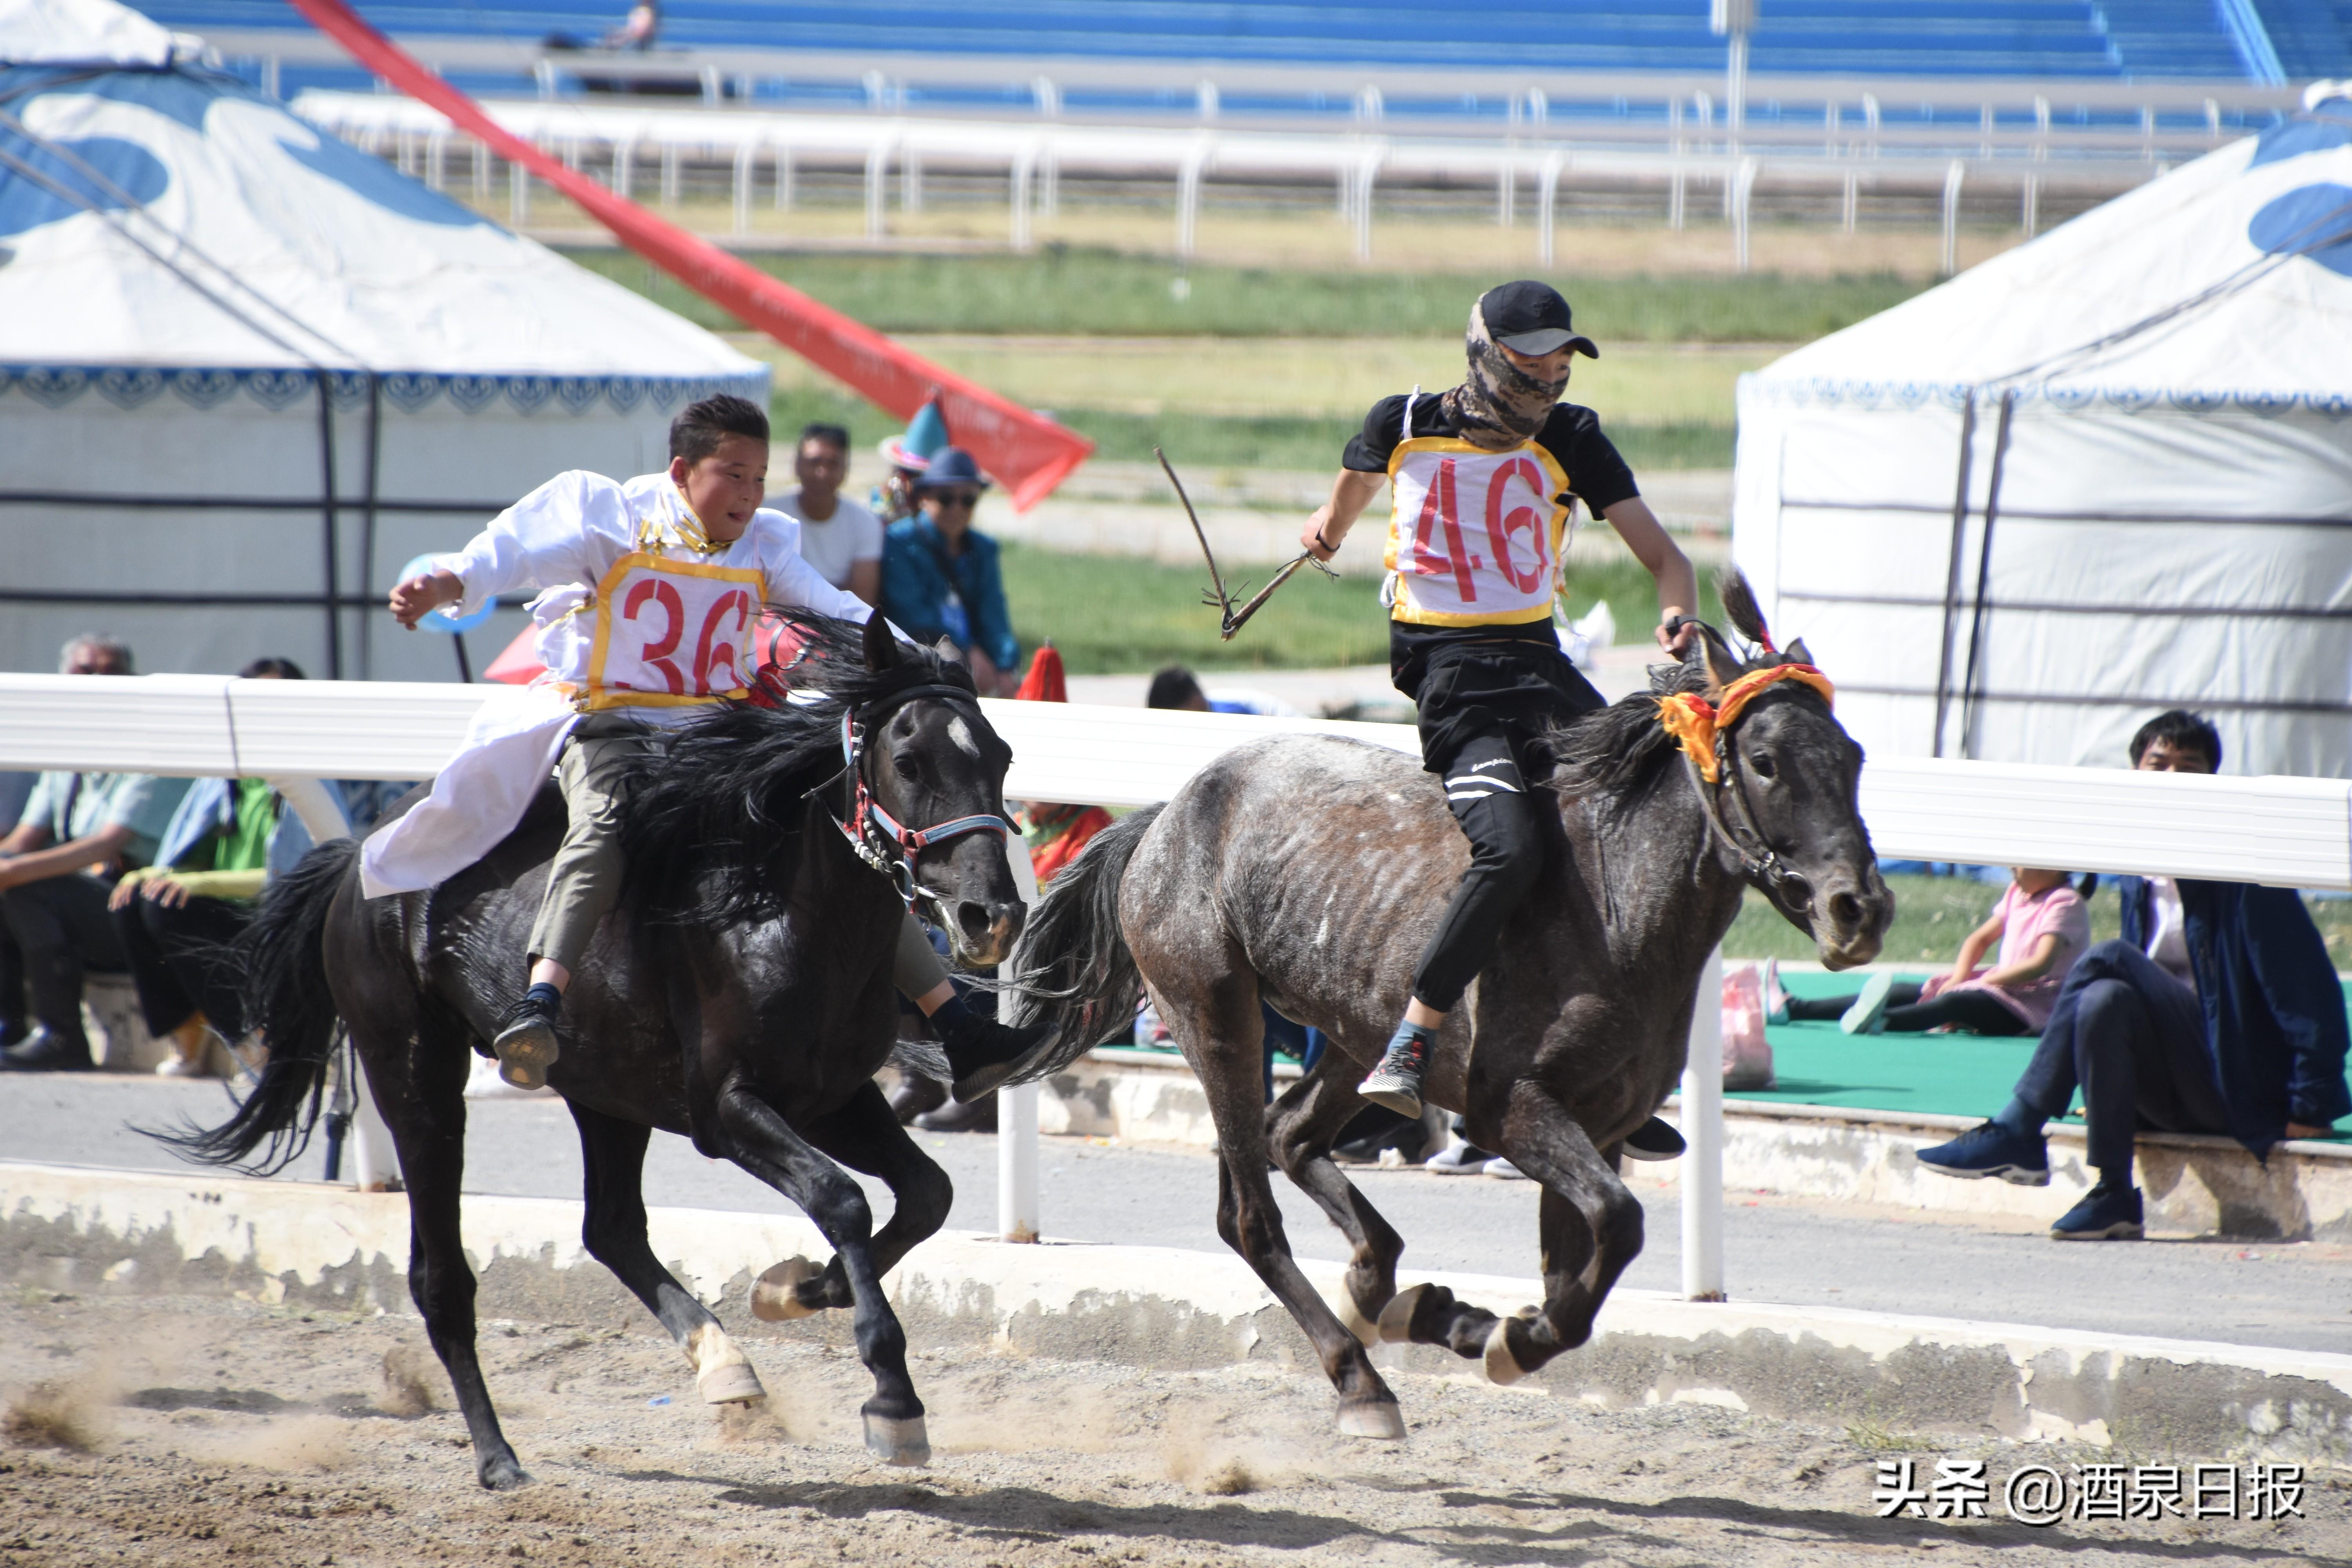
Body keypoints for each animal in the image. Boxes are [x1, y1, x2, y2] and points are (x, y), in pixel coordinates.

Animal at [156, 611, 1021, 1486]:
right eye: (909, 760)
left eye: (1003, 756)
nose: (991, 915)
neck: (777, 915)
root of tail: (360, 858)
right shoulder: (728, 1110)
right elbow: (843, 1198)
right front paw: (891, 1394)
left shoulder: (836, 1097)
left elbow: (926, 1192)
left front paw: (797, 1287)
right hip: (414, 1072)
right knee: (444, 1276)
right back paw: (498, 1455)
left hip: (607, 1090)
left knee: (610, 1227)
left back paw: (725, 1367)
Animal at [1007, 581, 1891, 1448]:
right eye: (1766, 761)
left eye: (1852, 756)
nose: (1861, 908)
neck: (1617, 905)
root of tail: (1168, 812)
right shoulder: (1516, 1109)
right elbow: (1618, 1221)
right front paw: (1501, 1334)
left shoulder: (1600, 1124)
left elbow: (1580, 1268)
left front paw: (1468, 1320)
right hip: (1215, 1014)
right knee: (1249, 1214)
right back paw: (1360, 1377)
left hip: (1348, 1031)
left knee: (1290, 1134)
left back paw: (1380, 1278)